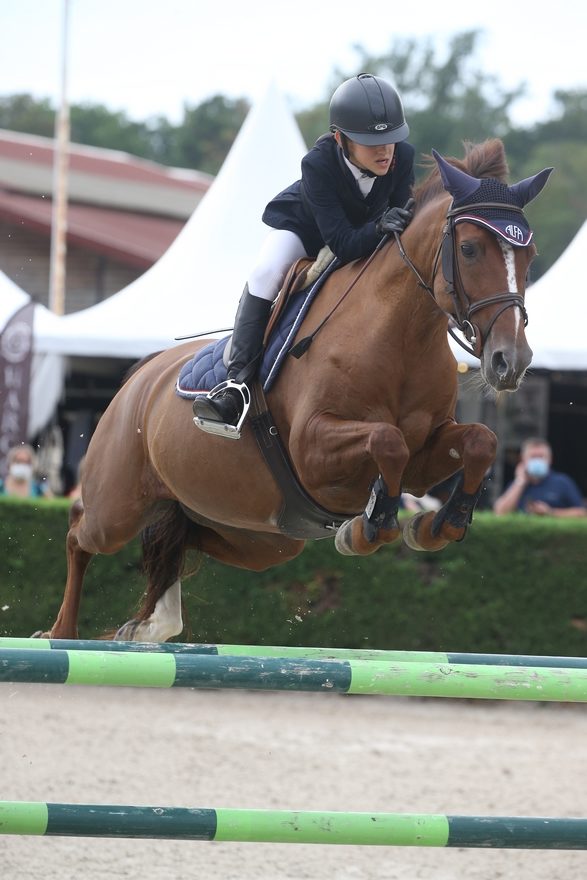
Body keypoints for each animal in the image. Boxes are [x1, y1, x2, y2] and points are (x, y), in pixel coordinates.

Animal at [36, 141, 552, 644]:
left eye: (530, 257)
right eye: (469, 249)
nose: (511, 361)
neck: (401, 334)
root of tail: (140, 378)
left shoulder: (426, 454)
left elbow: (479, 441)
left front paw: (438, 524)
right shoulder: (312, 449)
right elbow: (387, 440)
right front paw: (367, 529)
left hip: (263, 538)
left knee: (181, 538)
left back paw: (147, 625)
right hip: (118, 506)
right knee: (79, 529)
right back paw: (60, 631)